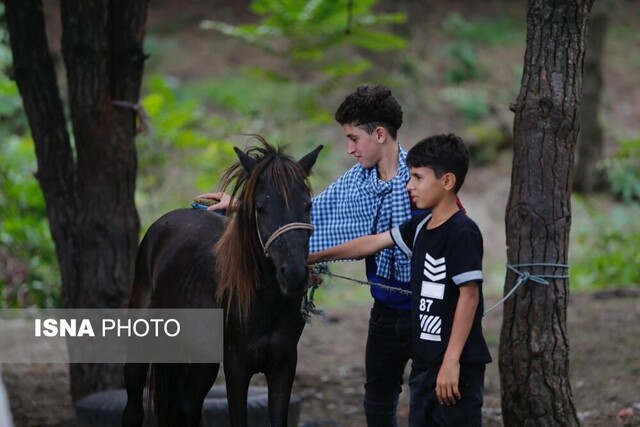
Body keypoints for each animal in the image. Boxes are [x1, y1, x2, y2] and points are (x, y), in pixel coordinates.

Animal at [124, 139, 324, 426]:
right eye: (260, 208)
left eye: (307, 205)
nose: (294, 276)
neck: (265, 303)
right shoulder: (236, 365)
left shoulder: (284, 364)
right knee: (133, 408)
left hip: (202, 359)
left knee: (188, 406)